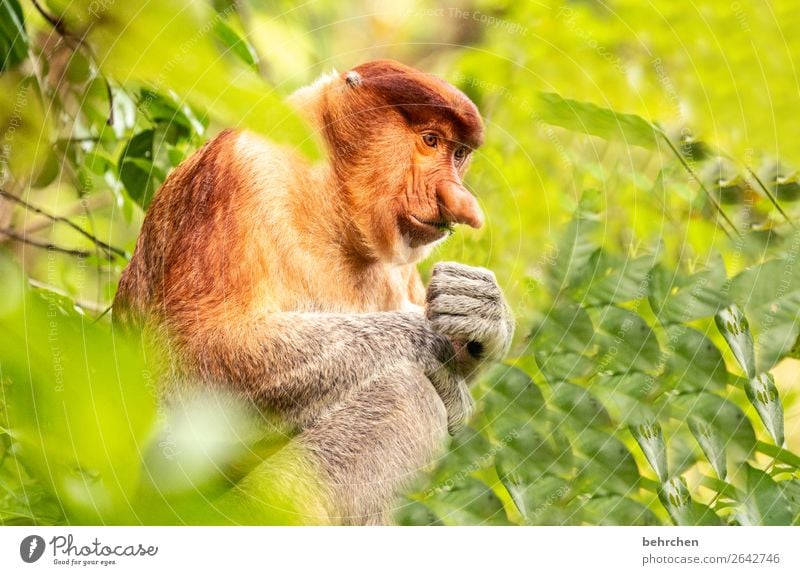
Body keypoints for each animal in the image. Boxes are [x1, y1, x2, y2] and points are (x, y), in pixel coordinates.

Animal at [114, 60, 512, 524]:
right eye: (430, 140)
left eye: (459, 153)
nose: (461, 203)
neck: (331, 193)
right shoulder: (241, 171)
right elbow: (200, 353)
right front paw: (433, 348)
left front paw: (483, 314)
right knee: (406, 392)